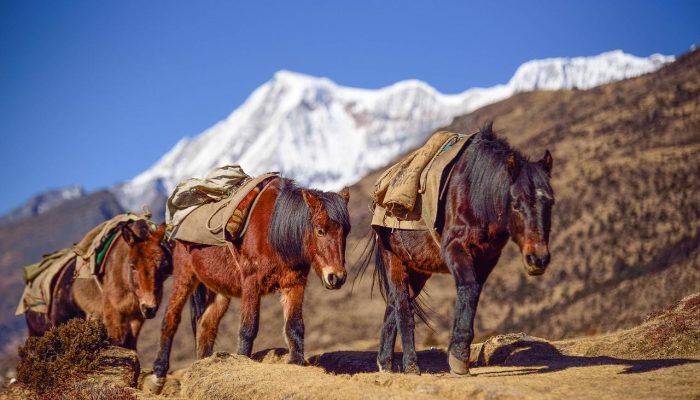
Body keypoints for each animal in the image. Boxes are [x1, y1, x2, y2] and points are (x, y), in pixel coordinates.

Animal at [25, 219, 173, 350]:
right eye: (132, 266)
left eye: (163, 265)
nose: (149, 308)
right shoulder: (112, 316)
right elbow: (118, 344)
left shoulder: (136, 318)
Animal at [152, 178, 350, 390]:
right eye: (320, 230)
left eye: (346, 232)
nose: (336, 277)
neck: (274, 232)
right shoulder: (251, 283)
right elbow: (248, 328)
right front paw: (242, 360)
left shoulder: (294, 284)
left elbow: (295, 326)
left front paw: (297, 362)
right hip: (184, 278)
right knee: (170, 320)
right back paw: (158, 376)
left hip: (220, 291)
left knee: (206, 325)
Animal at [358, 123, 556, 376]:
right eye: (516, 204)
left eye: (550, 202)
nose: (537, 259)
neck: (476, 193)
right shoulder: (455, 249)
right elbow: (467, 287)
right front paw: (458, 360)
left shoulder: (487, 258)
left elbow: (473, 292)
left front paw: (458, 356)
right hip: (395, 260)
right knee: (402, 307)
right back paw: (411, 366)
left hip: (418, 271)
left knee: (393, 304)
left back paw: (385, 364)